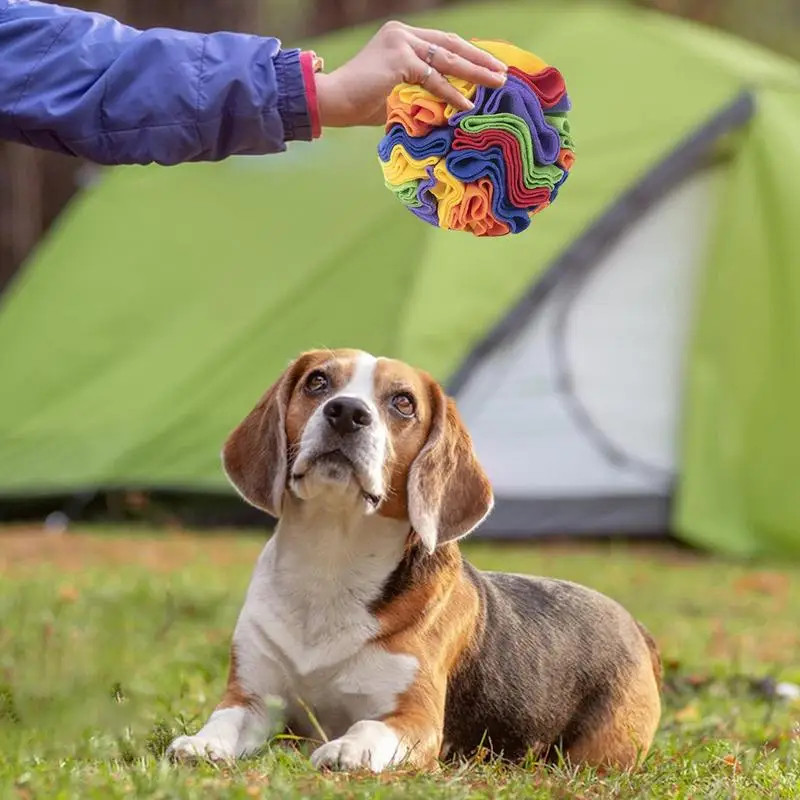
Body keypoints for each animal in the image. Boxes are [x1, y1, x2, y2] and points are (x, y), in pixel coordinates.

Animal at [166, 348, 660, 768]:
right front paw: (201, 744)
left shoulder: (415, 720)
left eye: (403, 403)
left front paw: (346, 749)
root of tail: (633, 624)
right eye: (317, 381)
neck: (331, 560)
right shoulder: (252, 696)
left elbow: (367, 727)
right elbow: (225, 719)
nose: (347, 412)